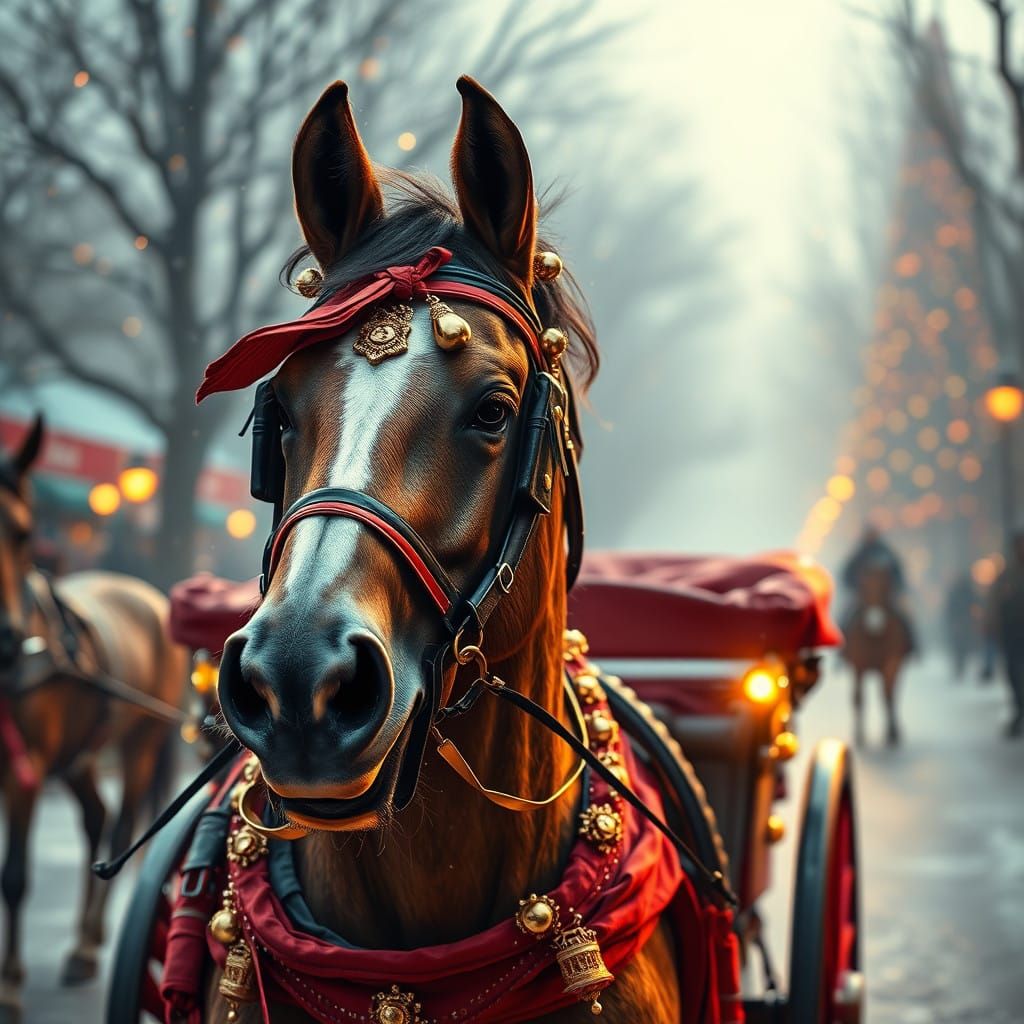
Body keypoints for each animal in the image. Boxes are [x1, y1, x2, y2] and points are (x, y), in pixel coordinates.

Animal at [0, 416, 186, 1019]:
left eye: (23, 533)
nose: (8, 638)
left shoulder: (26, 771)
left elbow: (14, 876)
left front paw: (10, 984)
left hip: (141, 743)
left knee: (122, 825)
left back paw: (86, 944)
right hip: (80, 753)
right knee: (96, 818)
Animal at [841, 562, 914, 747]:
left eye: (887, 588)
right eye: (862, 587)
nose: (875, 620)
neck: (875, 635)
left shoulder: (893, 662)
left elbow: (888, 694)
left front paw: (892, 733)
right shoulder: (857, 665)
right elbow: (858, 697)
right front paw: (859, 735)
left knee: (892, 693)